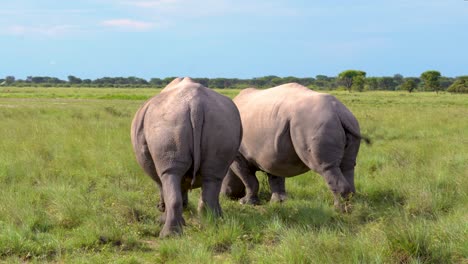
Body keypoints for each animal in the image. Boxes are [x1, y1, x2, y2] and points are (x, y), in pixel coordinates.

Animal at [131, 77, 241, 237]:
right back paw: (210, 226)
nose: (158, 207)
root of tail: (196, 104)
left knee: (170, 174)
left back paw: (168, 235)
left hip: (168, 122)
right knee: (213, 176)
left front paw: (163, 216)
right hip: (223, 122)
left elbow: (163, 186)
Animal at [220, 83, 370, 210]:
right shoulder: (271, 152)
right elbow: (275, 177)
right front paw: (278, 202)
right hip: (348, 121)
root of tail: (338, 112)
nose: (224, 196)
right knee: (347, 166)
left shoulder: (239, 156)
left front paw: (245, 203)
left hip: (315, 123)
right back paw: (351, 207)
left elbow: (249, 179)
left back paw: (339, 210)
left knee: (326, 167)